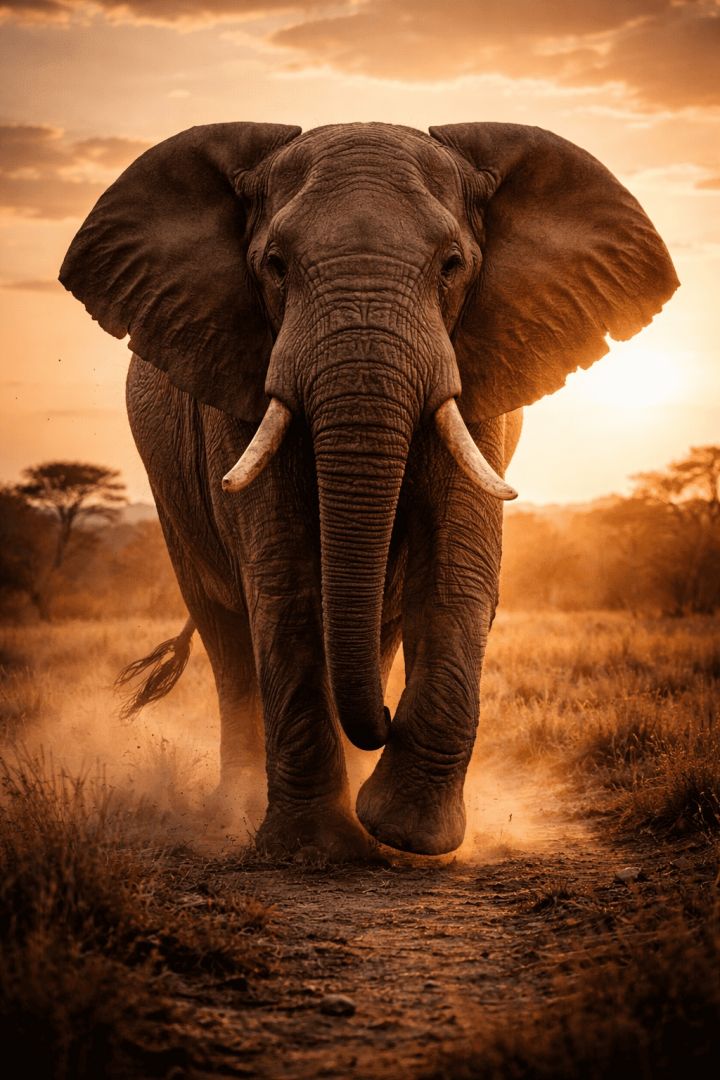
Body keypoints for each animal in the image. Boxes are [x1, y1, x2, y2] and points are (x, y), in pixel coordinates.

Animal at [60, 121, 678, 858]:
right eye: (275, 266)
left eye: (451, 265)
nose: (383, 721)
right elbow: (284, 577)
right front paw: (314, 849)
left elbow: (455, 567)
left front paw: (406, 834)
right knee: (228, 639)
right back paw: (235, 813)